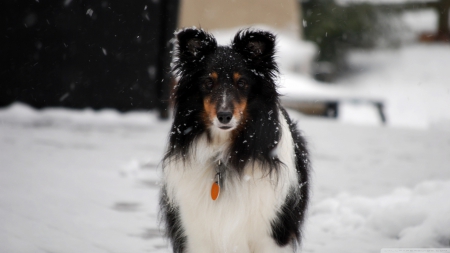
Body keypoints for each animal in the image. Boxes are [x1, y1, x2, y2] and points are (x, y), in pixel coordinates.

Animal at [159, 28, 310, 253]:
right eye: (208, 83)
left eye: (242, 83)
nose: (224, 116)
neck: (223, 154)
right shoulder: (195, 235)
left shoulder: (271, 236)